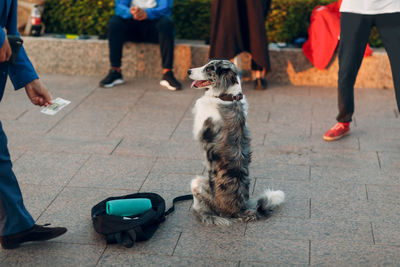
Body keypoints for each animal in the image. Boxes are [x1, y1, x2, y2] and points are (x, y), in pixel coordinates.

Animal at [188, 59, 284, 226]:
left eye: (209, 69)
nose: (188, 71)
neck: (228, 97)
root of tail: (239, 209)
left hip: (198, 183)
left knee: (206, 211)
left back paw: (198, 211)